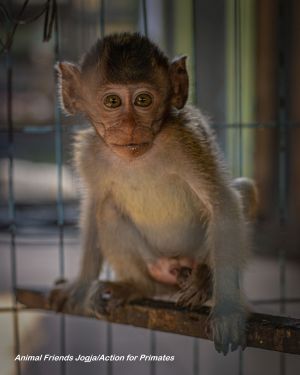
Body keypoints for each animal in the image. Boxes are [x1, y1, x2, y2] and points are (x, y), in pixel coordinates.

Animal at [49, 33, 255, 356]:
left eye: (143, 100)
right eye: (112, 102)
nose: (130, 126)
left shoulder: (184, 141)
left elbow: (221, 202)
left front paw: (228, 310)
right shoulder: (90, 154)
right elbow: (94, 206)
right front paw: (80, 285)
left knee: (243, 192)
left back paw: (204, 278)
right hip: (154, 264)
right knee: (107, 211)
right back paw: (137, 286)